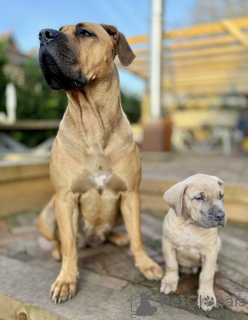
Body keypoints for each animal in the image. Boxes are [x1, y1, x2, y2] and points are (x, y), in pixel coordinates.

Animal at [37, 21, 164, 302]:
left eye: (85, 32)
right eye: (60, 28)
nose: (43, 34)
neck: (93, 123)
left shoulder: (131, 195)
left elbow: (138, 236)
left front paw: (146, 264)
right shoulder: (65, 197)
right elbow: (70, 246)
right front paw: (66, 280)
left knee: (114, 233)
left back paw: (117, 237)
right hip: (48, 214)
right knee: (62, 241)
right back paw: (57, 251)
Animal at [161, 174, 227, 312]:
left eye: (221, 196)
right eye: (199, 198)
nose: (220, 215)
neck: (190, 224)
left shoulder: (210, 251)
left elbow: (206, 275)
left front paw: (206, 297)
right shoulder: (168, 244)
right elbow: (171, 264)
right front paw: (169, 282)